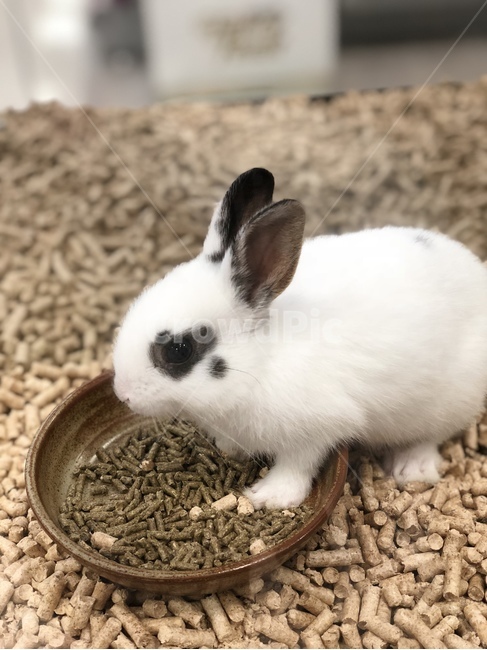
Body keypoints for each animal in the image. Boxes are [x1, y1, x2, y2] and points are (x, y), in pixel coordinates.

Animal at [113, 167, 487, 509]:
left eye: (179, 350)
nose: (123, 395)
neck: (263, 358)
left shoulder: (316, 429)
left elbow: (297, 465)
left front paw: (268, 497)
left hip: (449, 401)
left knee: (433, 436)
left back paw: (412, 469)